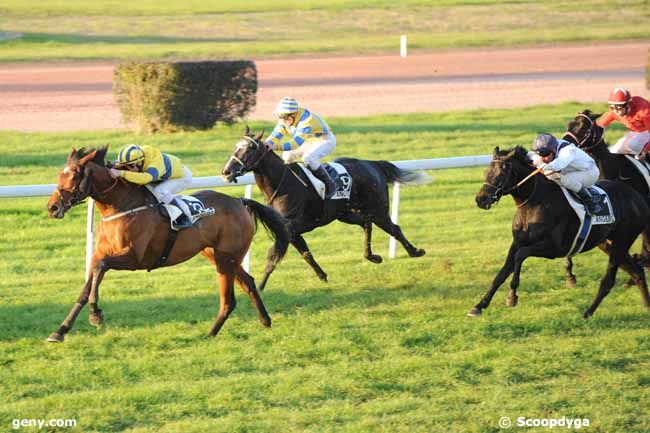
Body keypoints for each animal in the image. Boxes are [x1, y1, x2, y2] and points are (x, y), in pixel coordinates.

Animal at [45, 145, 288, 340]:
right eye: (59, 175)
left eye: (74, 177)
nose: (52, 207)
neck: (122, 205)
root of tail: (239, 201)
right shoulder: (100, 253)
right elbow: (88, 283)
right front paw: (60, 331)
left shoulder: (135, 258)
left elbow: (100, 268)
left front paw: (96, 314)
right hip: (219, 256)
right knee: (248, 282)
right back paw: (265, 321)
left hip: (225, 258)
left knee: (229, 300)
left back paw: (210, 333)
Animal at [220, 128, 428, 290]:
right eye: (235, 148)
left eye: (249, 149)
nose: (226, 171)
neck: (283, 184)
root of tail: (372, 164)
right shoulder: (292, 232)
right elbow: (306, 254)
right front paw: (323, 276)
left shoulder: (288, 228)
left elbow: (274, 255)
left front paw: (260, 287)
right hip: (346, 214)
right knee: (366, 224)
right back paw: (372, 256)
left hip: (378, 209)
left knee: (394, 228)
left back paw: (415, 252)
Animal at [470, 145, 648, 318]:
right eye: (486, 172)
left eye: (500, 174)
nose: (481, 199)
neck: (534, 203)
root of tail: (638, 198)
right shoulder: (517, 242)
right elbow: (502, 273)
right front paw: (478, 306)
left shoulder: (554, 248)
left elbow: (520, 256)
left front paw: (512, 296)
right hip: (608, 244)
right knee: (637, 272)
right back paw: (646, 304)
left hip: (621, 242)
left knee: (609, 280)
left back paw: (587, 313)